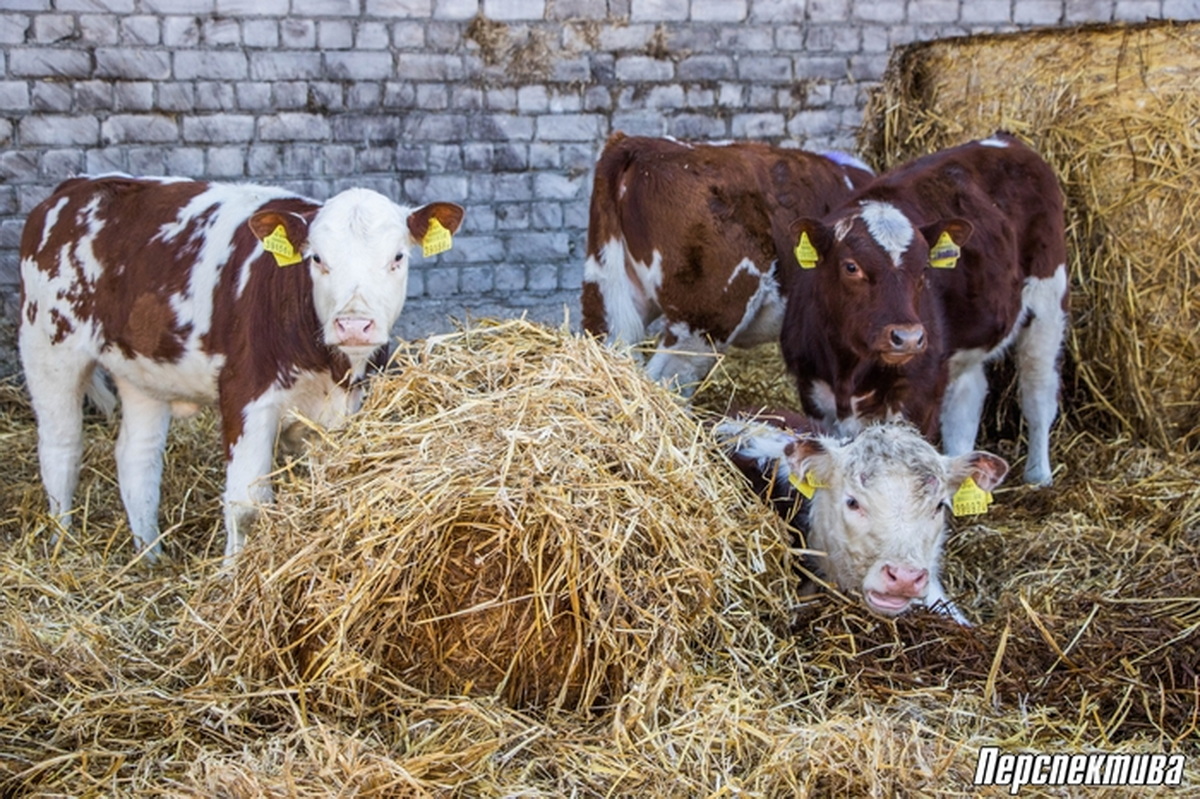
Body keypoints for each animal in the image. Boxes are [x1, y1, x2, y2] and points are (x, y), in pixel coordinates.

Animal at [22, 173, 468, 559]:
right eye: (317, 259)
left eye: (397, 257)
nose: (354, 324)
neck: (327, 367)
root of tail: (77, 186)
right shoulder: (246, 396)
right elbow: (247, 507)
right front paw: (231, 576)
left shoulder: (344, 410)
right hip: (49, 346)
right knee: (61, 447)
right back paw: (62, 543)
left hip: (142, 369)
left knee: (138, 456)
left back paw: (150, 555)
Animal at [787, 133, 1070, 482]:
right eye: (851, 267)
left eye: (924, 268)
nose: (907, 337)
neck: (848, 369)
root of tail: (1006, 139)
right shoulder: (813, 392)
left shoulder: (918, 394)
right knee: (968, 401)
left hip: (1048, 303)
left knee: (1038, 392)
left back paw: (1038, 475)